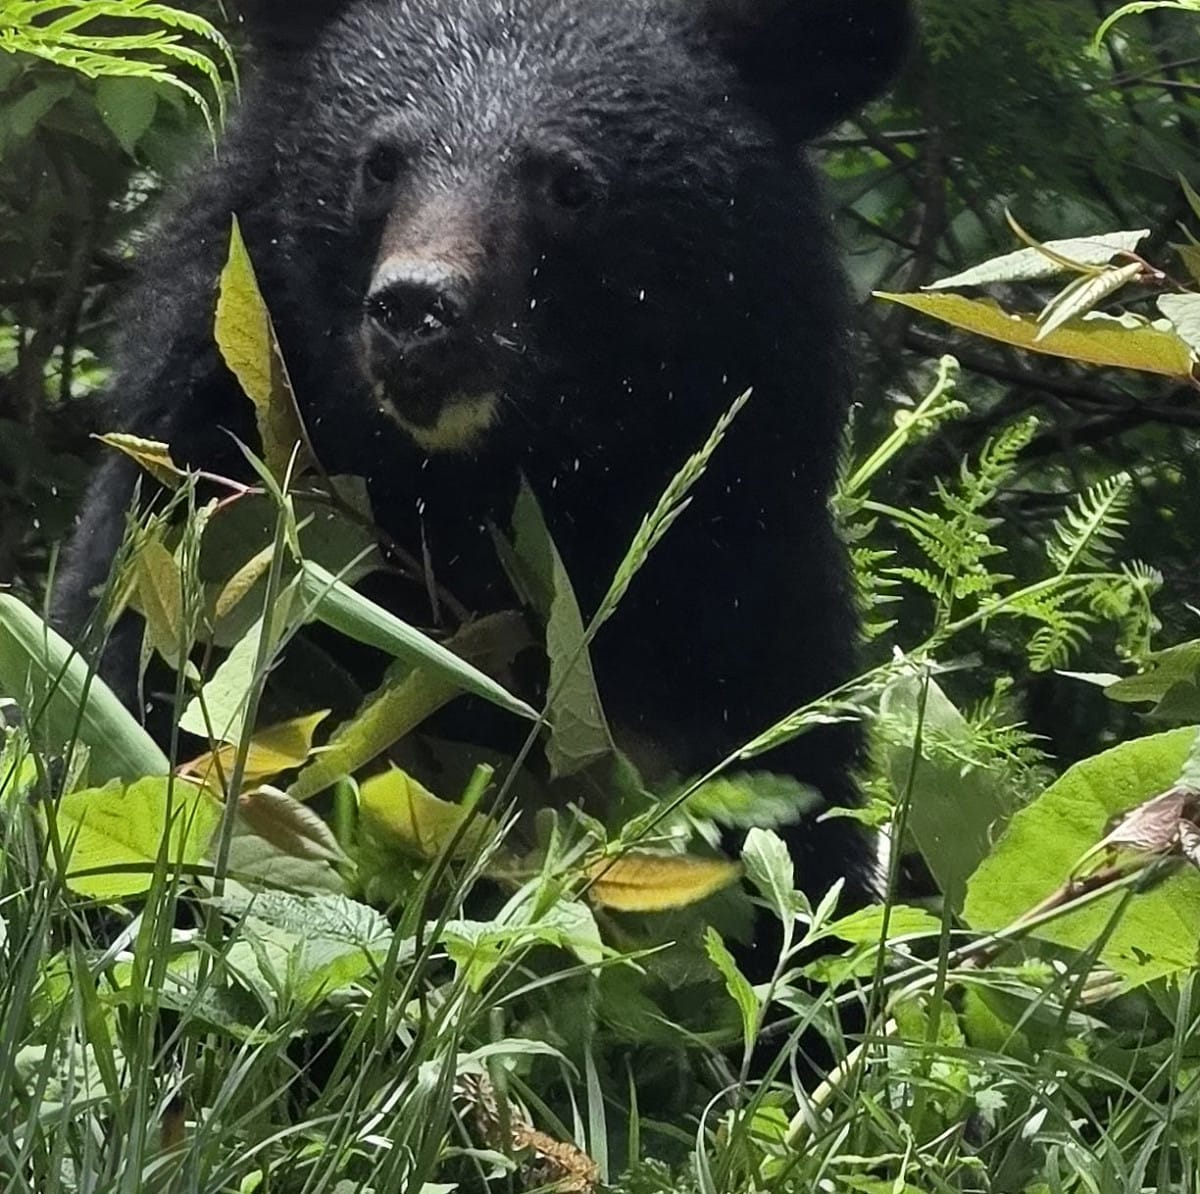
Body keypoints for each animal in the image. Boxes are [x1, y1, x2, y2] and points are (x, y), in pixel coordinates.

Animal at [53, 0, 911, 945]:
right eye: (380, 164)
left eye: (569, 184)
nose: (415, 309)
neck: (468, 492)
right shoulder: (198, 509)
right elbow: (133, 718)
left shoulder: (741, 606)